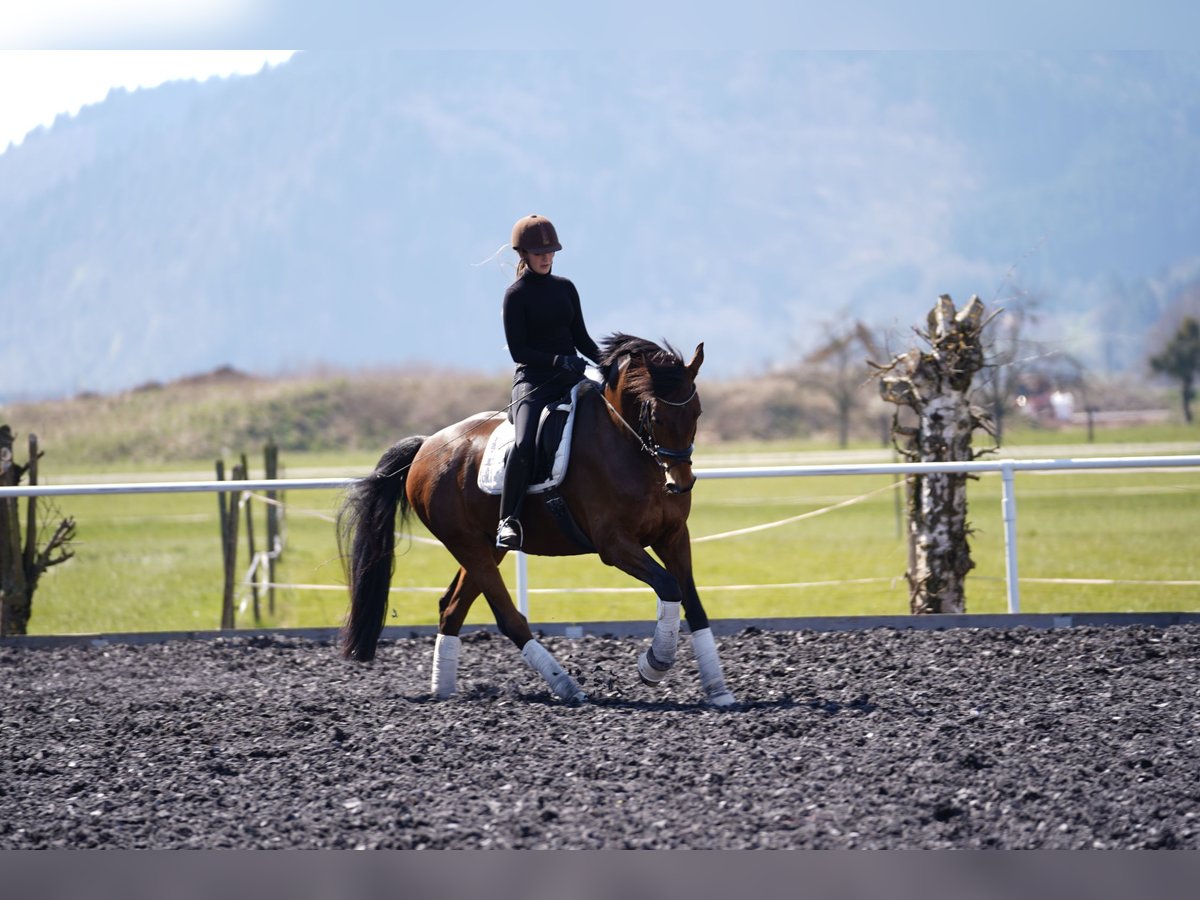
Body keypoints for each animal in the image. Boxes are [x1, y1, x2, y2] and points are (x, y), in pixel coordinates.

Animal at [333, 336, 734, 710]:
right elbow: (668, 586)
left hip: (486, 547)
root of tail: (426, 447)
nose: (679, 483)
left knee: (451, 608)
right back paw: (567, 687)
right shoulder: (615, 545)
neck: (628, 448)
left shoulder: (673, 536)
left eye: (697, 412)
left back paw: (443, 689)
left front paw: (718, 689)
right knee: (507, 618)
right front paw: (654, 664)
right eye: (654, 414)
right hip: (468, 544)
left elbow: (693, 602)